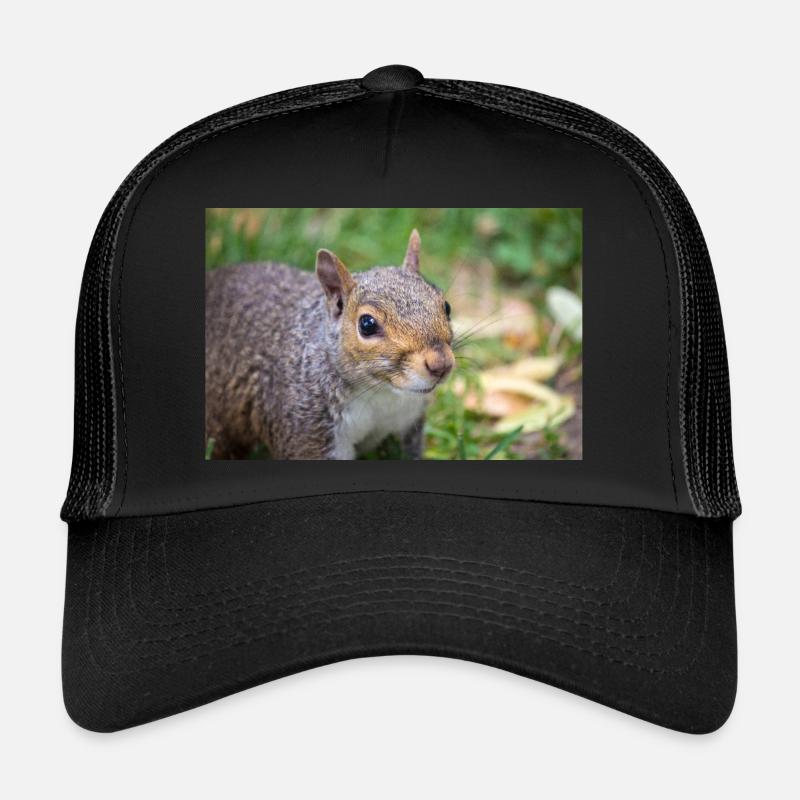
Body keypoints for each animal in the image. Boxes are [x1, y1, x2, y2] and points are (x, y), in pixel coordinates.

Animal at [205, 229, 455, 460]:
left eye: (446, 306)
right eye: (367, 324)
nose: (441, 364)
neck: (381, 393)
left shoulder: (406, 421)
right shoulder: (308, 428)